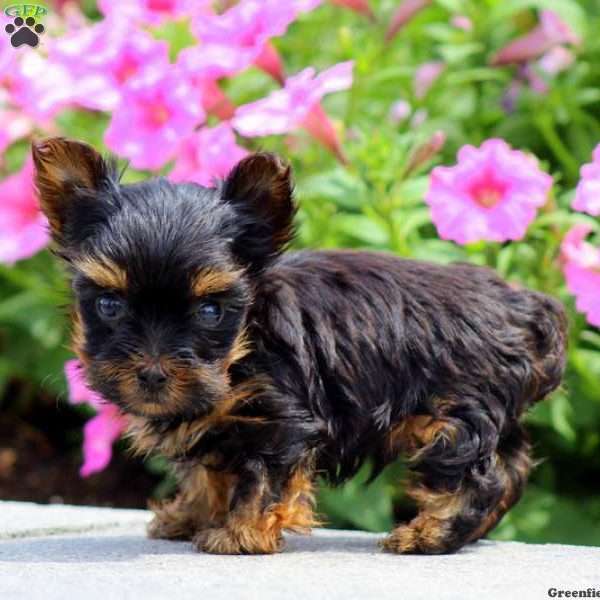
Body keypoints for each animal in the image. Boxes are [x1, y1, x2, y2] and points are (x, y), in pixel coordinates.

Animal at [32, 136, 568, 552]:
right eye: (110, 306)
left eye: (210, 312)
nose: (152, 373)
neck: (244, 347)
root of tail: (524, 306)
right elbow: (208, 471)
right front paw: (190, 515)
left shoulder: (280, 415)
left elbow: (262, 477)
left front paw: (241, 535)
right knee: (513, 466)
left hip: (456, 413)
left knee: (479, 474)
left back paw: (430, 535)